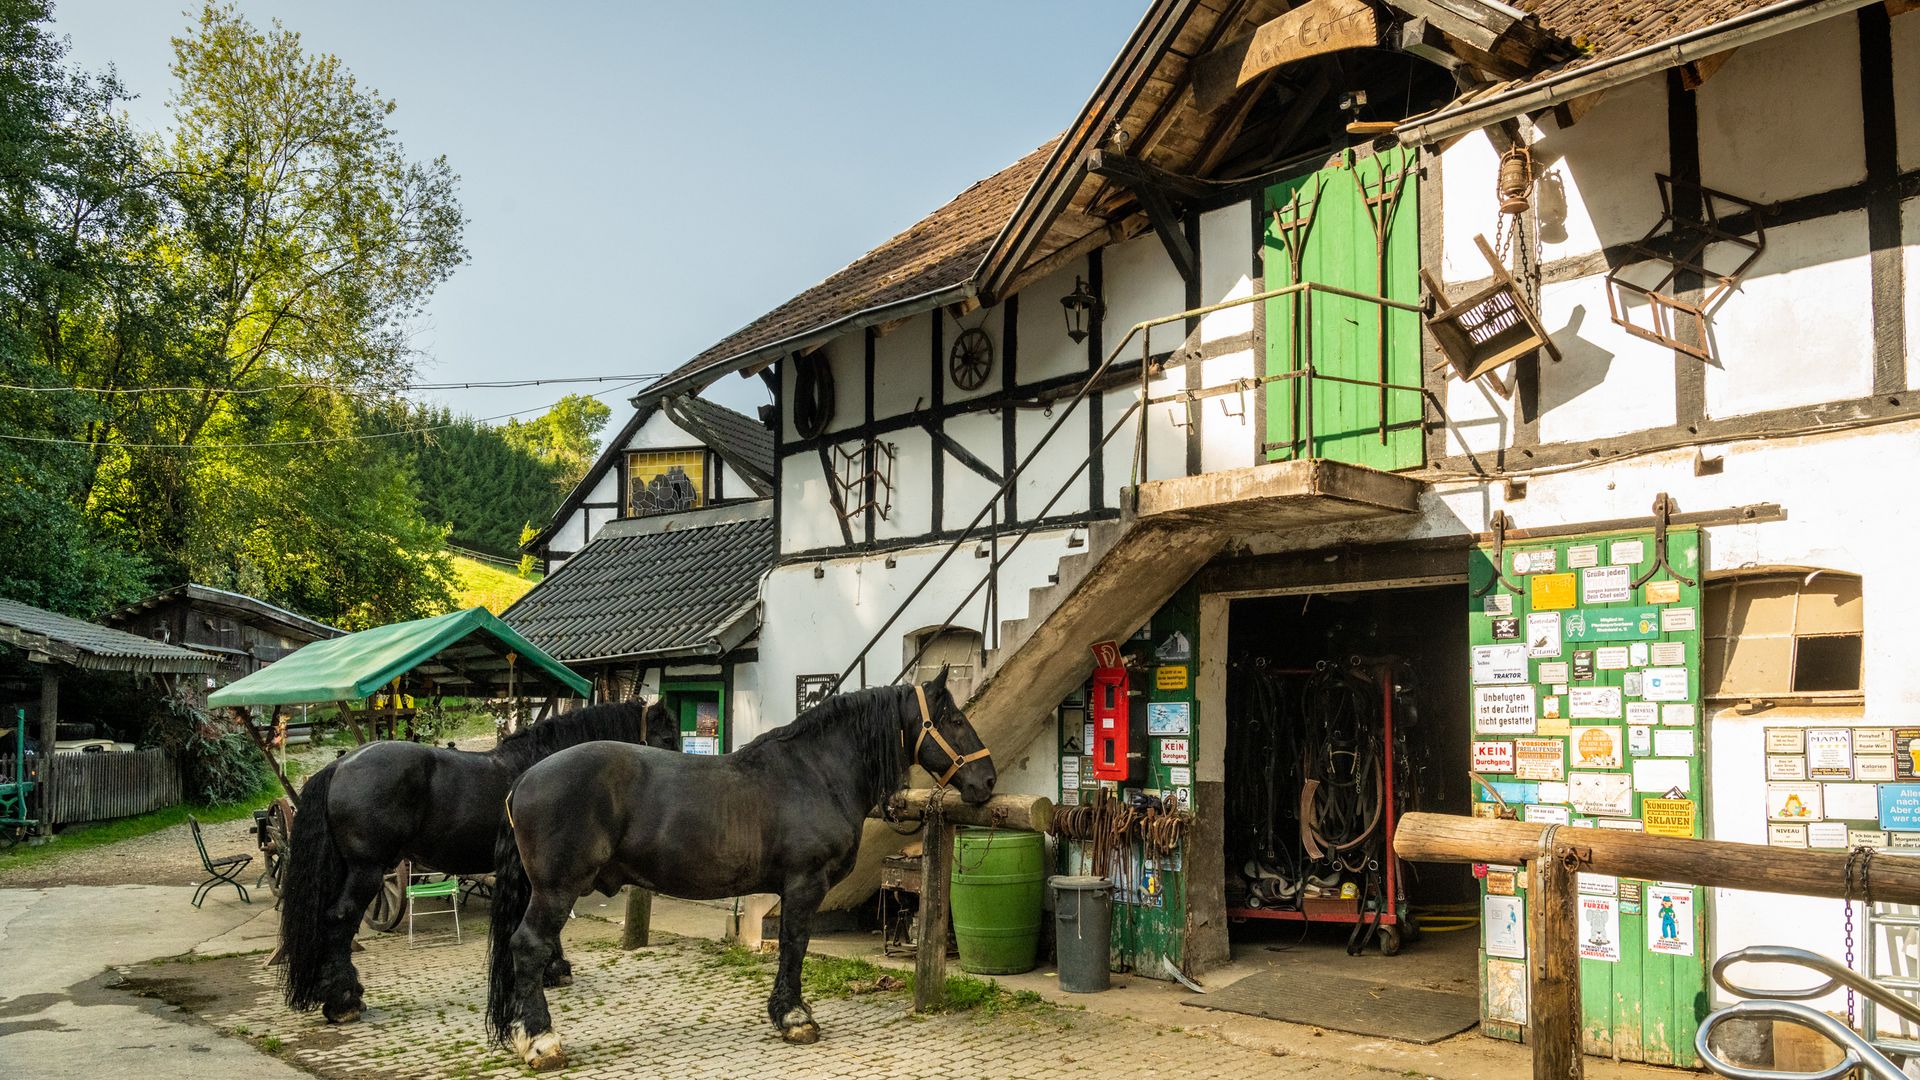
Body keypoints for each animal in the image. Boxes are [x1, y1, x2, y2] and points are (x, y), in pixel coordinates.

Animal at [278, 699, 675, 1014]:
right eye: (667, 738)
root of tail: (341, 765)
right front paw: (556, 969)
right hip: (369, 870)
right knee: (341, 919)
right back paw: (344, 1001)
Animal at [483, 668, 990, 1060]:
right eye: (954, 719)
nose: (986, 780)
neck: (814, 772)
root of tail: (523, 780)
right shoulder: (804, 884)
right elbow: (794, 945)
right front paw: (794, 1018)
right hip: (555, 890)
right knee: (528, 946)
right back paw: (542, 1041)